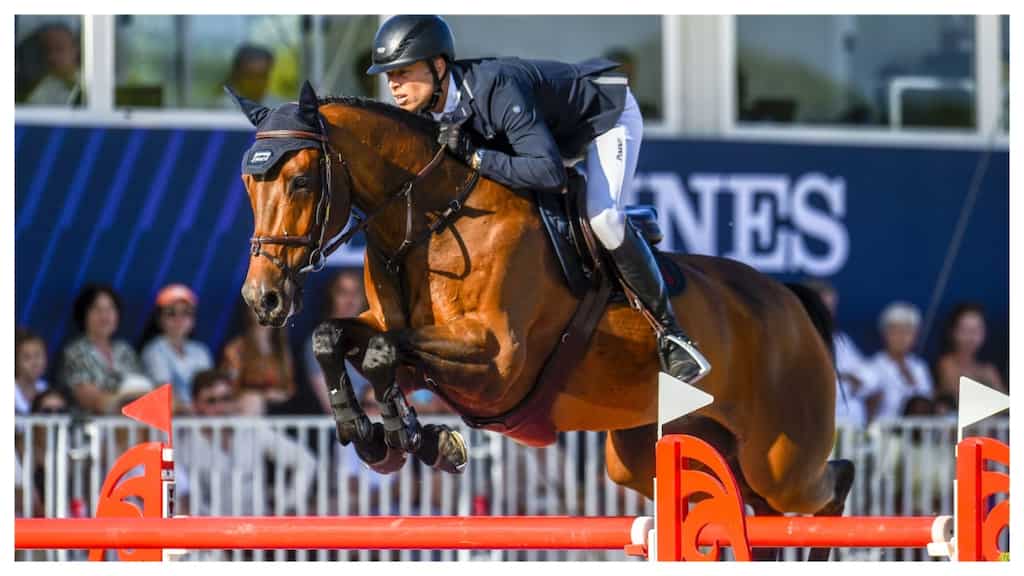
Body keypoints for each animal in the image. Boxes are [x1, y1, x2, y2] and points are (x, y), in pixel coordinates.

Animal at [231, 81, 852, 544]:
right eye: (248, 185)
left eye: (301, 179)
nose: (263, 298)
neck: (430, 219)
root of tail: (788, 300)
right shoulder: (405, 336)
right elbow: (335, 338)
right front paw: (375, 435)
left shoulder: (498, 364)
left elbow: (383, 353)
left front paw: (412, 436)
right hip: (648, 452)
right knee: (751, 507)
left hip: (780, 454)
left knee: (826, 486)